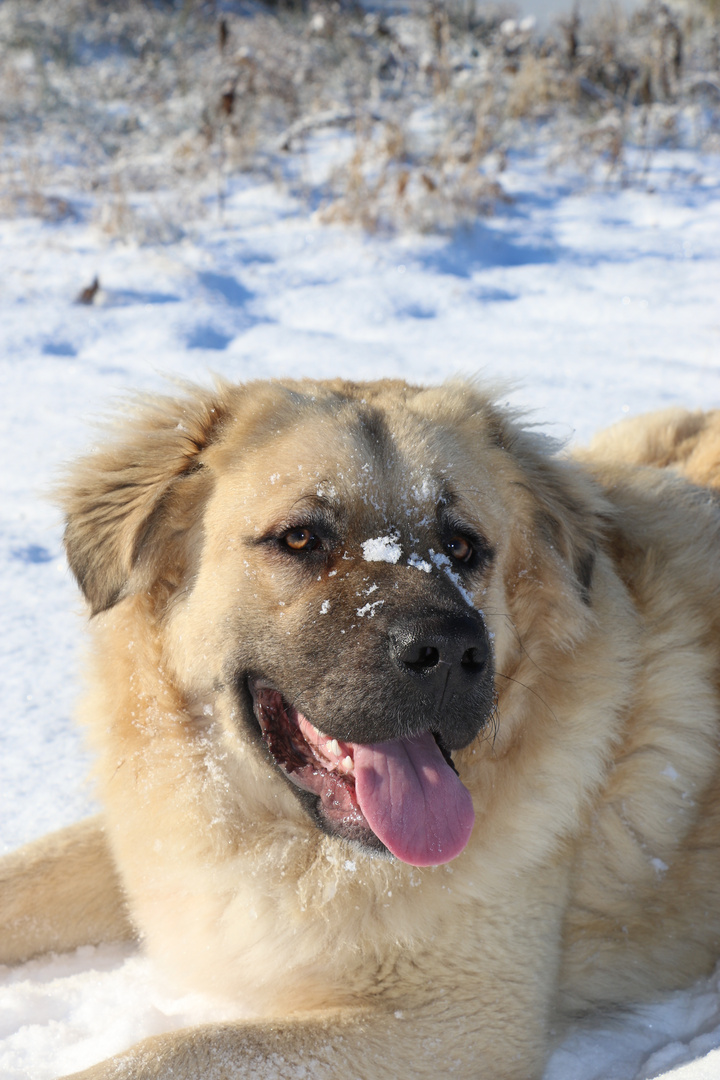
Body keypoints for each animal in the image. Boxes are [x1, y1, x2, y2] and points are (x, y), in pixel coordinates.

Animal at [1, 382, 720, 1080]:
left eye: (462, 545)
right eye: (299, 539)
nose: (449, 651)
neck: (286, 839)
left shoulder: (459, 1020)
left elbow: (173, 1052)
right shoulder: (152, 841)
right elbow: (24, 876)